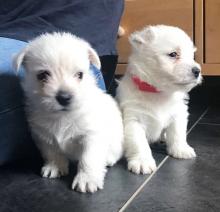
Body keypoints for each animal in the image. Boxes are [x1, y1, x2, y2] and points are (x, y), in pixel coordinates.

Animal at [14, 32, 124, 193]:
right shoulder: (44, 136)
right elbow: (52, 152)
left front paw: (86, 179)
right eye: (42, 75)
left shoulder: (92, 135)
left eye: (80, 75)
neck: (63, 116)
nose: (64, 97)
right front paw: (55, 167)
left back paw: (108, 159)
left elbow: (88, 158)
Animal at [117, 24, 203, 175]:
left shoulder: (179, 114)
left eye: (192, 56)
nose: (197, 71)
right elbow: (139, 142)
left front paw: (181, 149)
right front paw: (143, 162)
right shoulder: (133, 120)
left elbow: (178, 133)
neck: (159, 92)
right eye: (173, 54)